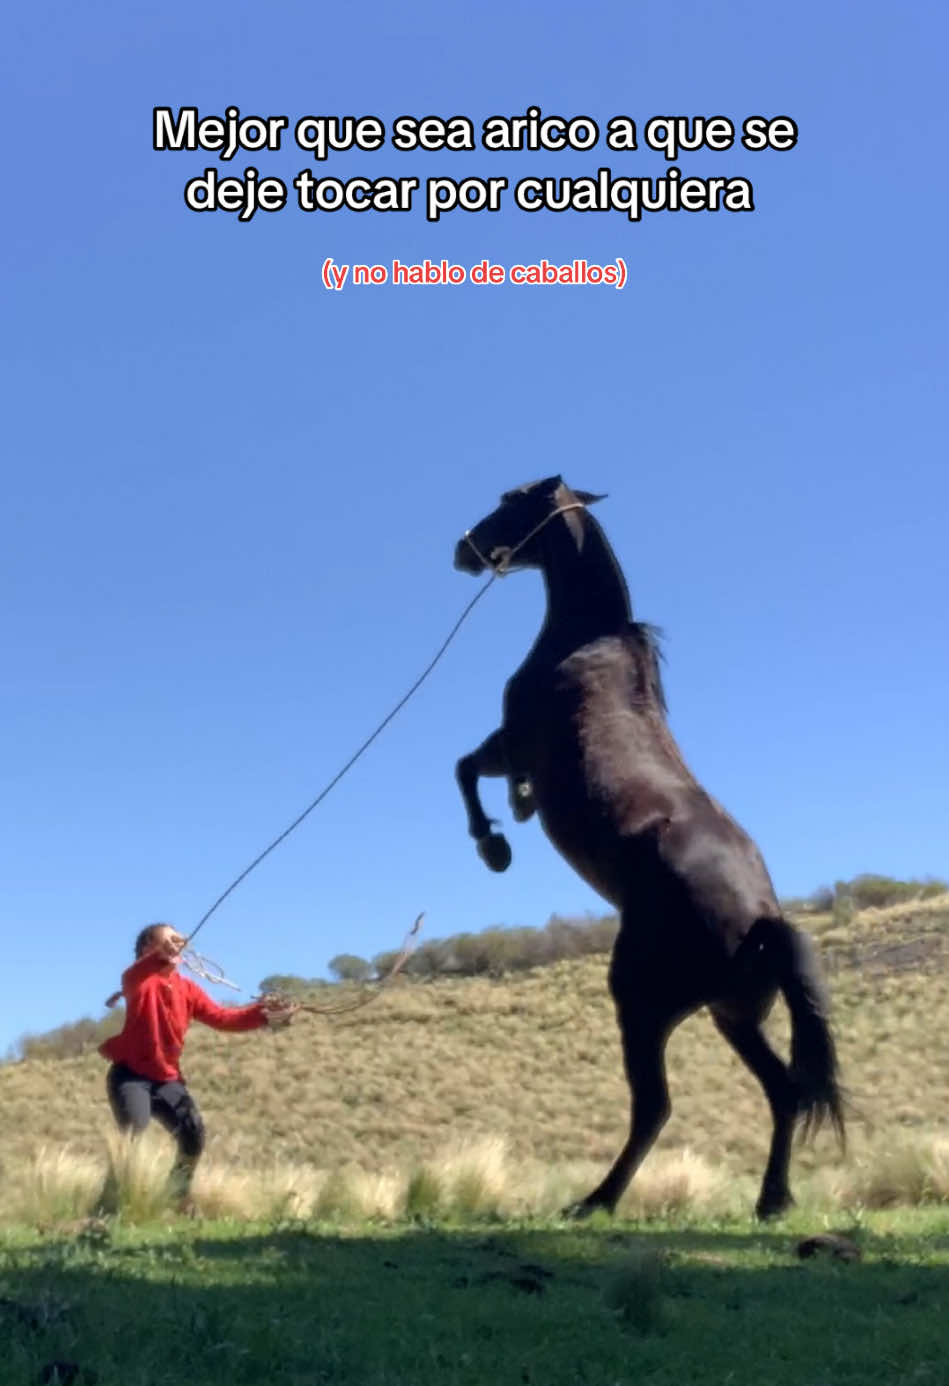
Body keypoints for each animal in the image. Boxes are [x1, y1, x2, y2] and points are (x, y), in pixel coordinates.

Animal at [454, 476, 842, 1214]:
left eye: (509, 501)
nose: (463, 548)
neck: (585, 645)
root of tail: (762, 921)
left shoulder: (510, 741)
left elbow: (465, 768)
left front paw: (496, 841)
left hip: (642, 1007)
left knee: (654, 1106)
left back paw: (596, 1201)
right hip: (732, 1016)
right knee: (782, 1092)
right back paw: (771, 1200)